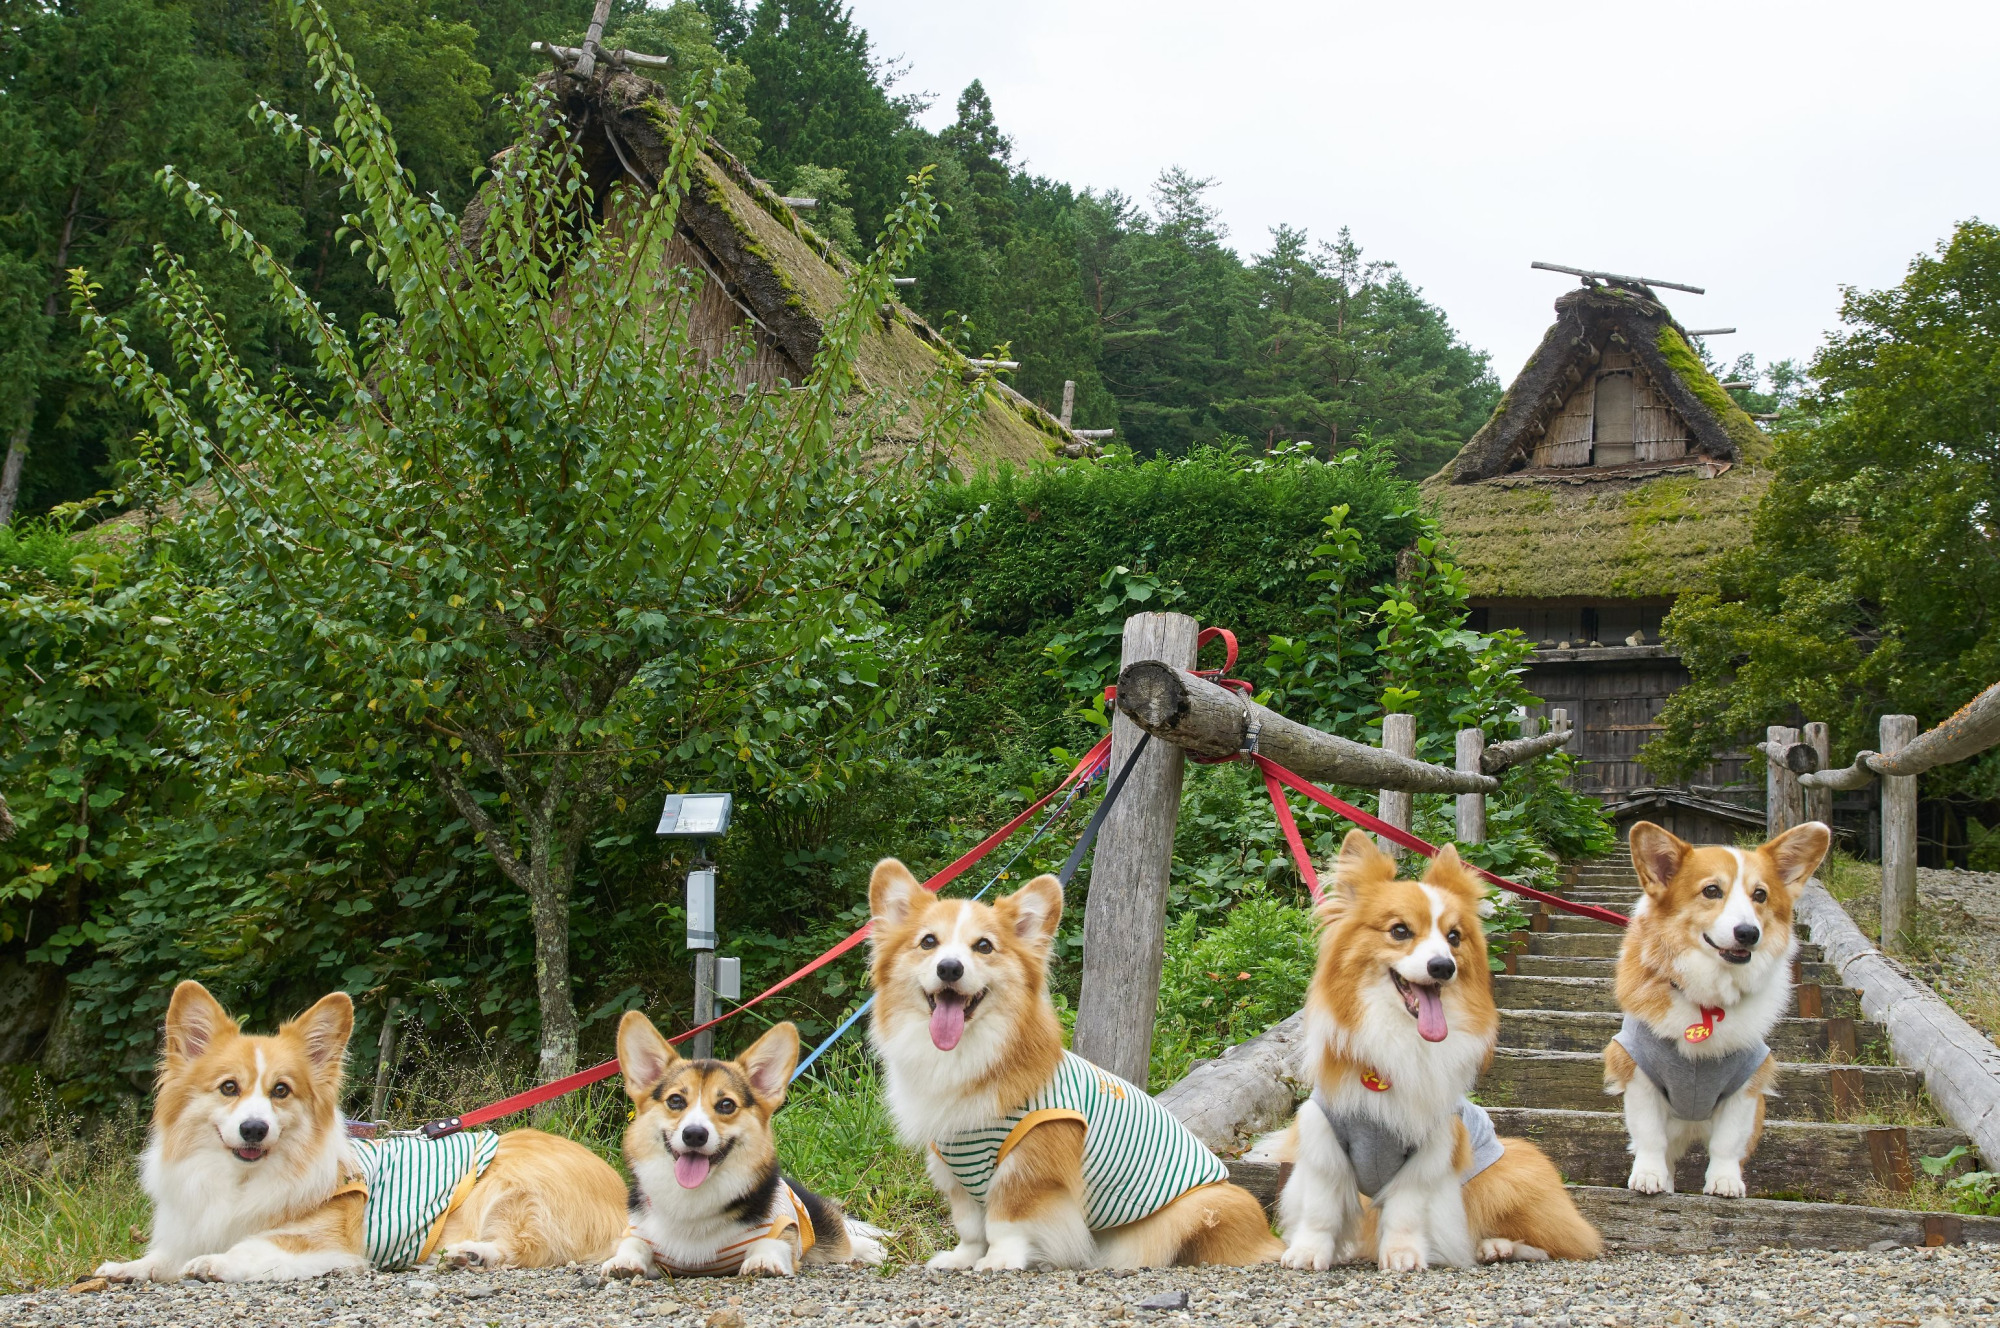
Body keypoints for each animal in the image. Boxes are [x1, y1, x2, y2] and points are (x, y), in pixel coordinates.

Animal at [94, 980, 620, 1280]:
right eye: (229, 1088)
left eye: (281, 1090)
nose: (254, 1129)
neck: (240, 1179)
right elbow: (161, 1258)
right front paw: (125, 1267)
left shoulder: (327, 1243)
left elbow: (254, 1246)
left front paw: (214, 1263)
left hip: (510, 1188)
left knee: (530, 1246)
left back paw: (473, 1254)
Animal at [600, 1012, 884, 1280]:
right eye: (676, 1100)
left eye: (726, 1105)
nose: (694, 1135)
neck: (693, 1203)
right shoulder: (638, 1230)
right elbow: (632, 1244)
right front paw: (623, 1262)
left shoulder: (784, 1227)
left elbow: (772, 1243)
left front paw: (763, 1261)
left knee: (842, 1238)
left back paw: (870, 1250)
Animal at [864, 856, 1272, 1272]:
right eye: (928, 942)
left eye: (984, 946)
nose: (949, 968)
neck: (966, 1056)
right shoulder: (952, 1167)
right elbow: (970, 1226)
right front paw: (962, 1258)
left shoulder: (1027, 1165)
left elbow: (1004, 1221)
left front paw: (1000, 1260)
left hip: (1196, 1208)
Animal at [1272, 832, 1600, 1280]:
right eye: (1399, 931)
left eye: (1454, 937)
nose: (1443, 966)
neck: (1398, 1039)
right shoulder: (1324, 1140)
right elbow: (1320, 1208)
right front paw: (1309, 1252)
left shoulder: (1433, 1148)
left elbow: (1406, 1210)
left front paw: (1403, 1255)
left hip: (1503, 1177)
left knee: (1557, 1242)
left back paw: (1497, 1247)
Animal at [1608, 820, 1832, 1200]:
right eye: (1711, 891)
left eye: (1760, 895)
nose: (1748, 933)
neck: (1707, 1001)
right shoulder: (1638, 1076)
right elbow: (1650, 1138)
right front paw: (1648, 1177)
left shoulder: (1745, 1086)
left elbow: (1727, 1144)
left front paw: (1725, 1182)